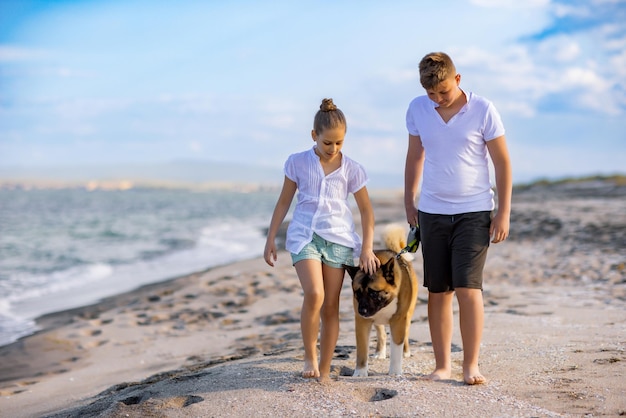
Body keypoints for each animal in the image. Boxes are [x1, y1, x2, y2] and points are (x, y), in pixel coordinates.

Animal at [344, 224, 416, 378]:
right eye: (357, 293)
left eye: (373, 292)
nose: (361, 310)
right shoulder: (362, 322)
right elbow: (362, 349)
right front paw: (360, 372)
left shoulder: (398, 321)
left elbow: (396, 348)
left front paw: (395, 372)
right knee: (381, 334)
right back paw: (379, 352)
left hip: (408, 315)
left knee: (406, 333)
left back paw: (406, 351)